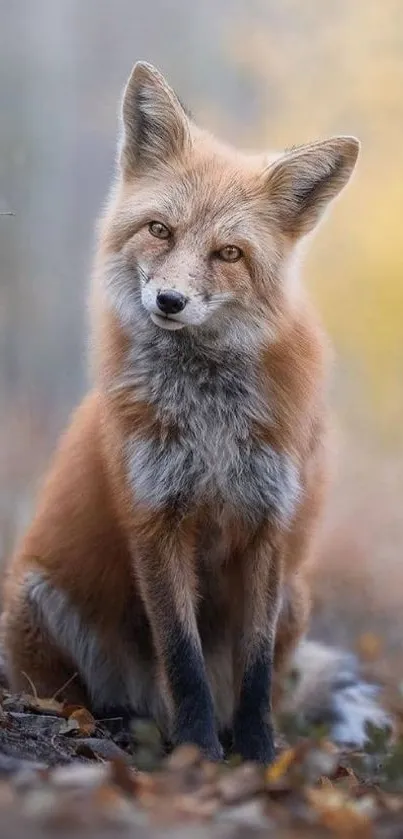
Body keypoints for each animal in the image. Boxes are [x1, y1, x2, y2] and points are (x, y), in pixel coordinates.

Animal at [0, 62, 392, 764]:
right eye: (161, 230)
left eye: (229, 253)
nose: (170, 301)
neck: (209, 420)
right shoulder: (156, 517)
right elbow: (182, 658)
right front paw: (200, 755)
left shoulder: (268, 525)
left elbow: (255, 672)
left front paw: (256, 757)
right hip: (39, 604)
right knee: (85, 698)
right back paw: (124, 725)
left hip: (296, 596)